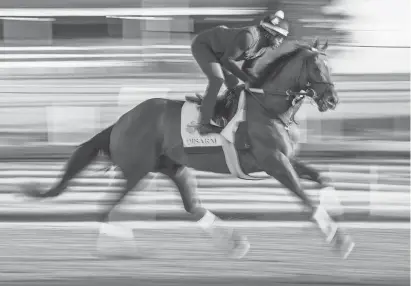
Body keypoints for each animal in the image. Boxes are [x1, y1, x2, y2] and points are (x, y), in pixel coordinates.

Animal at [20, 38, 354, 260]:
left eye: (330, 66)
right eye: (317, 67)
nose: (332, 100)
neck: (268, 106)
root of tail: (121, 120)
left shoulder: (285, 158)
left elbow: (323, 178)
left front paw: (337, 210)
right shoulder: (273, 161)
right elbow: (306, 200)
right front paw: (339, 241)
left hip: (173, 167)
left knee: (192, 207)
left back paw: (235, 244)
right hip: (138, 171)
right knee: (109, 207)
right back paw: (120, 249)